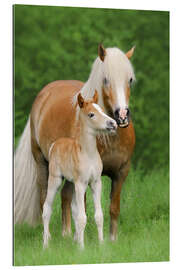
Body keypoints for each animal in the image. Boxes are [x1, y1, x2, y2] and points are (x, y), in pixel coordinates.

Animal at [42, 90, 116, 249]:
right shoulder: (81, 184)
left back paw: (75, 239)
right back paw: (45, 244)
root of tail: (55, 144)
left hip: (71, 182)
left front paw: (101, 245)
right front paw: (82, 249)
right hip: (56, 180)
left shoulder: (95, 182)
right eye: (91, 114)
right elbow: (83, 217)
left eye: (102, 109)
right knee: (46, 208)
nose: (112, 124)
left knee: (74, 208)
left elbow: (98, 215)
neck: (88, 153)